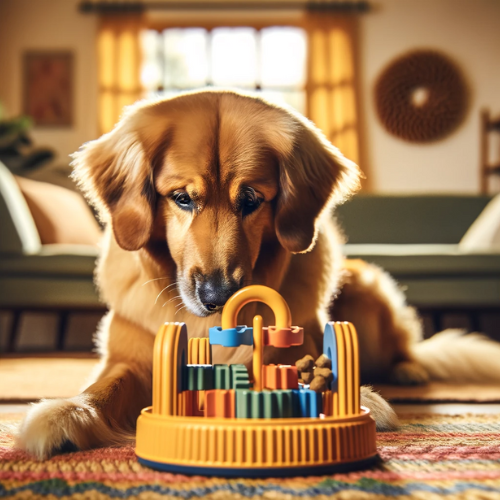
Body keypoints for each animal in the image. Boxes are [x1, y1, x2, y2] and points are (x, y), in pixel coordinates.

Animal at [15, 90, 500, 458]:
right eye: (181, 198)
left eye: (251, 199)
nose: (216, 296)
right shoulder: (130, 357)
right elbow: (104, 386)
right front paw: (65, 414)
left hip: (367, 293)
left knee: (405, 347)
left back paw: (408, 371)